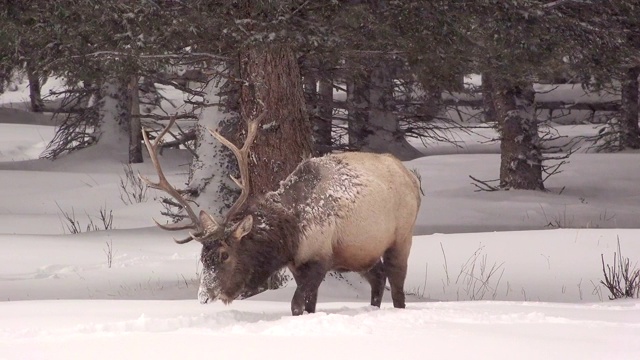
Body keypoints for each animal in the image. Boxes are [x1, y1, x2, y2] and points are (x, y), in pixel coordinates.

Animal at [141, 112, 420, 316]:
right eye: (202, 256)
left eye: (225, 254)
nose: (204, 296)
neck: (290, 237)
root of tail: (412, 178)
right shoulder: (298, 264)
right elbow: (309, 306)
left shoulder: (321, 257)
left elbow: (296, 305)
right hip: (361, 251)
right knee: (378, 277)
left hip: (401, 236)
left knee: (397, 285)